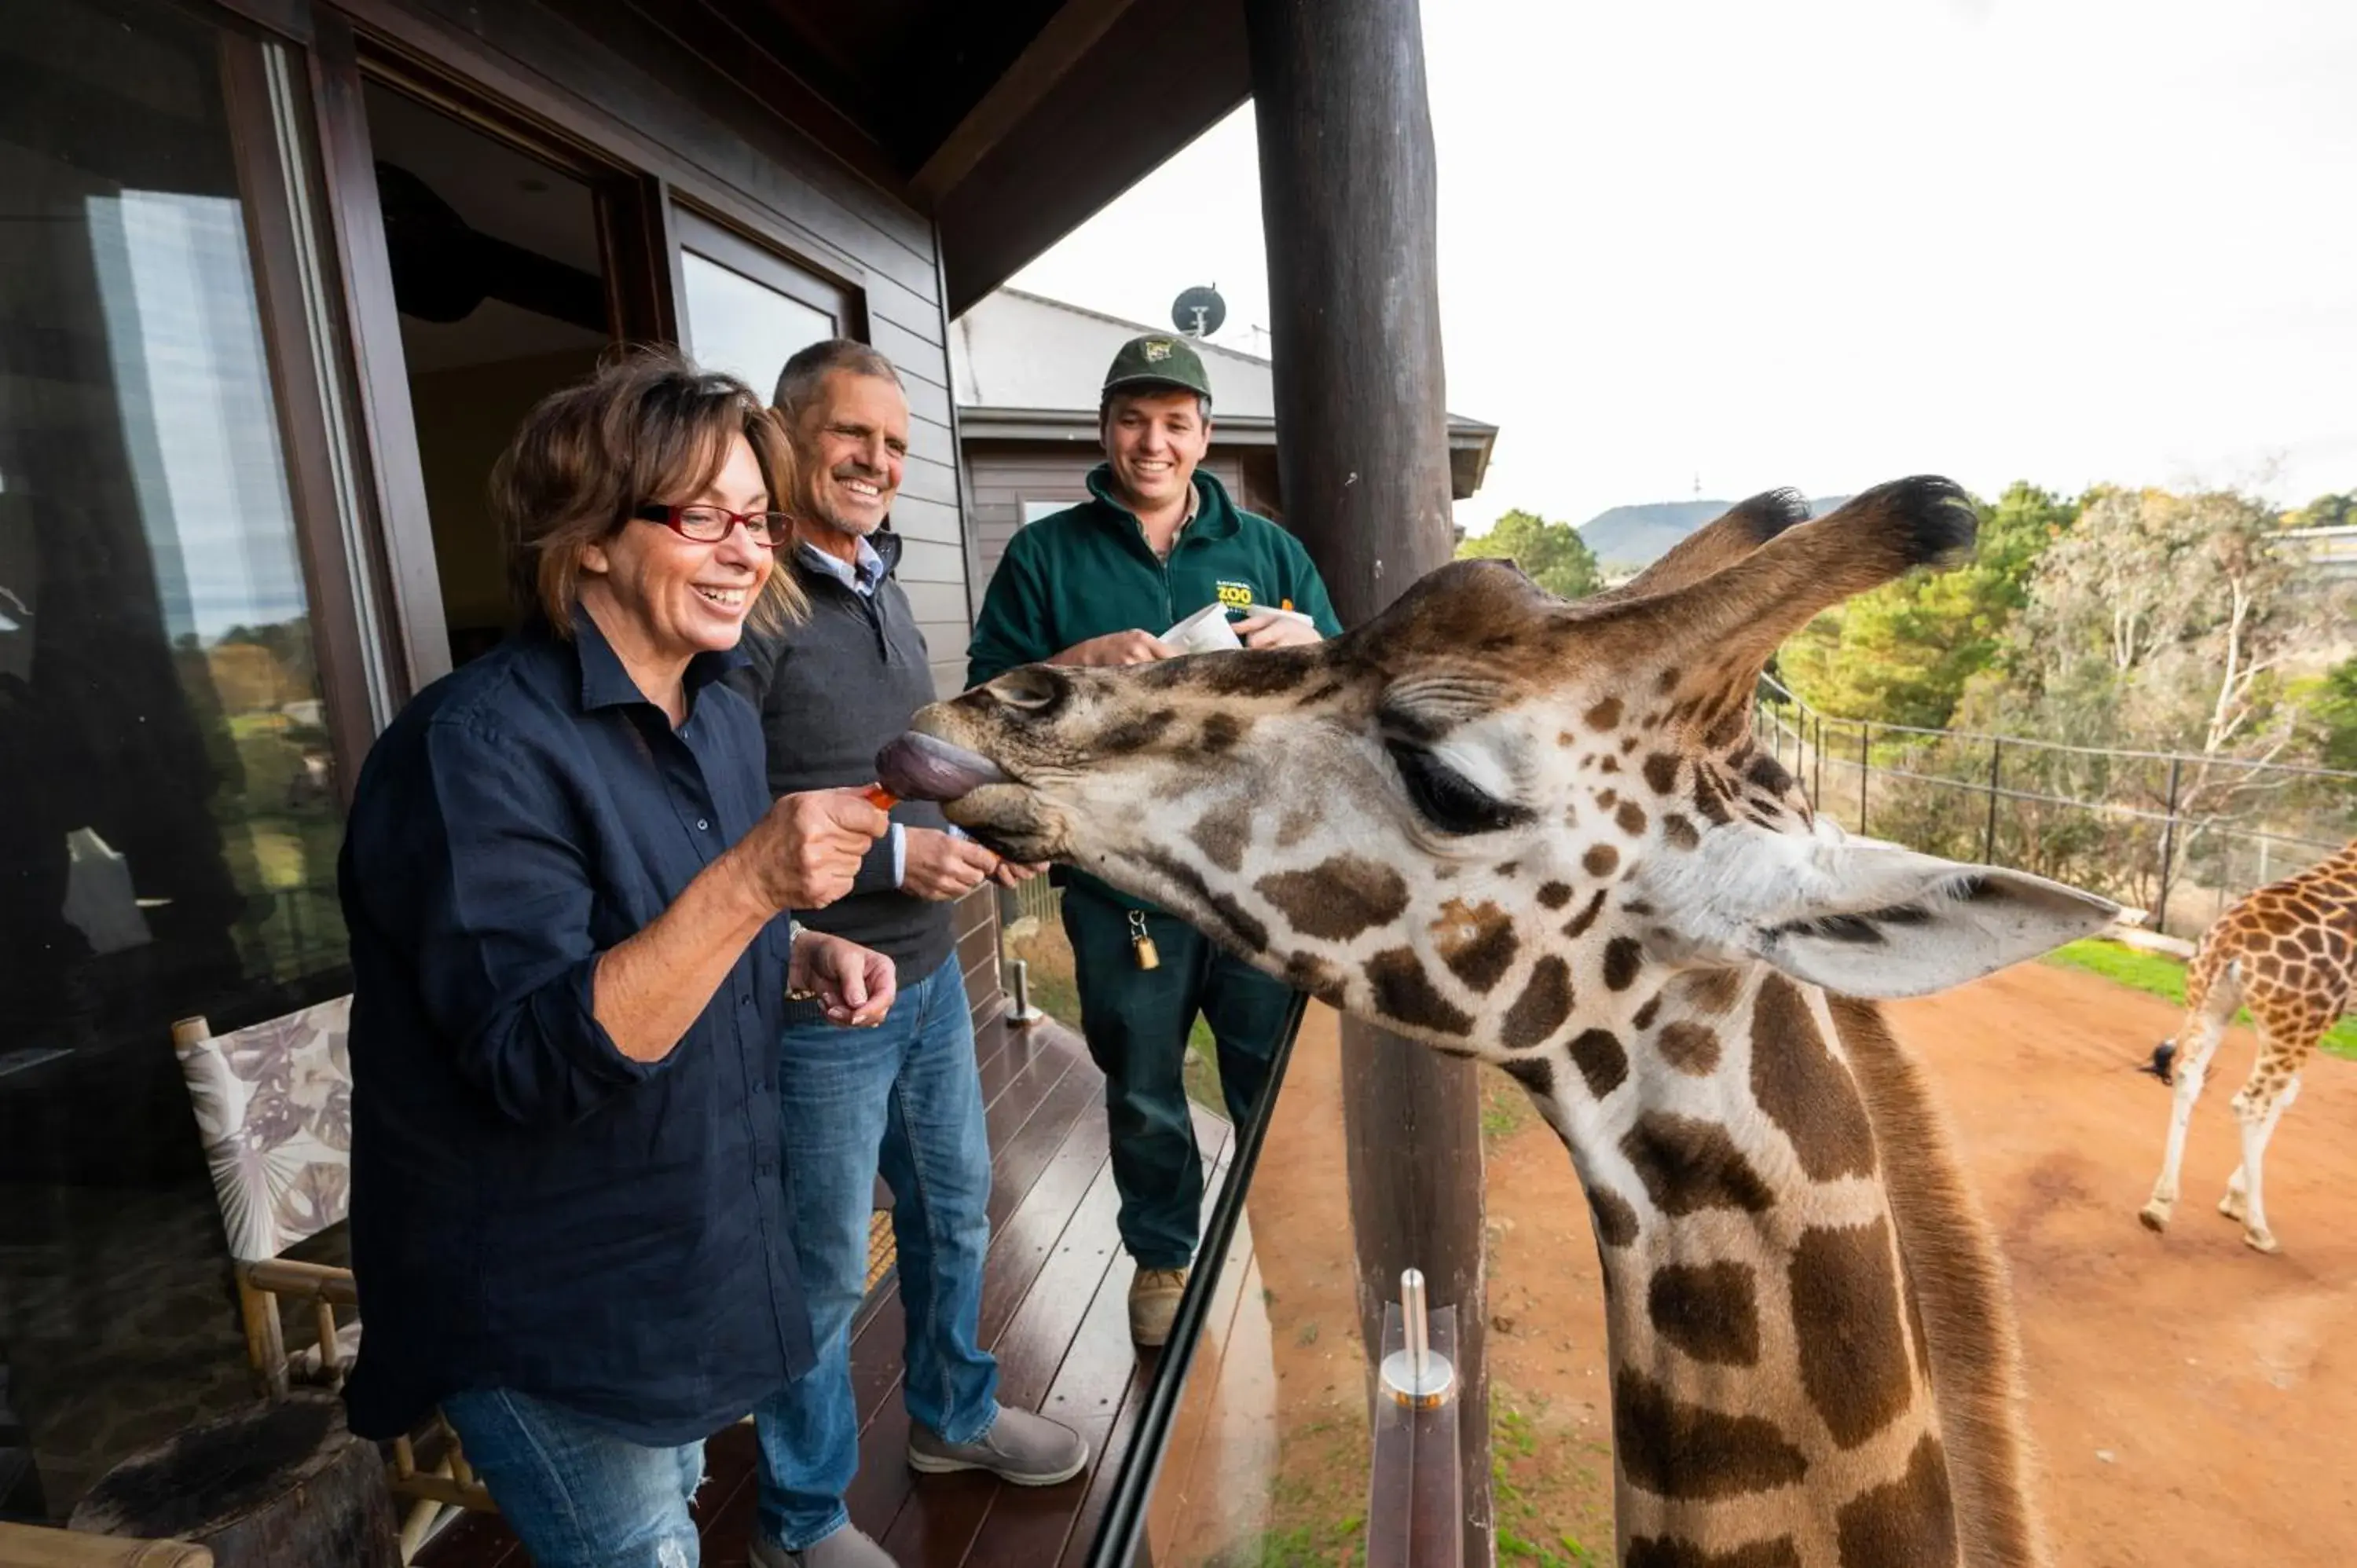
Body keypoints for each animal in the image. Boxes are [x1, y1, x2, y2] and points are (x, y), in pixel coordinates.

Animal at [2137, 837, 2357, 1254]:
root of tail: (2231, 943)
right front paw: (2240, 1203)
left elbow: (2288, 1095)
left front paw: (2233, 1199)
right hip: (2298, 1022)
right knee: (2251, 1102)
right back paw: (2259, 1229)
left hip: (2216, 1002)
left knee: (2190, 1076)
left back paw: (2159, 1205)